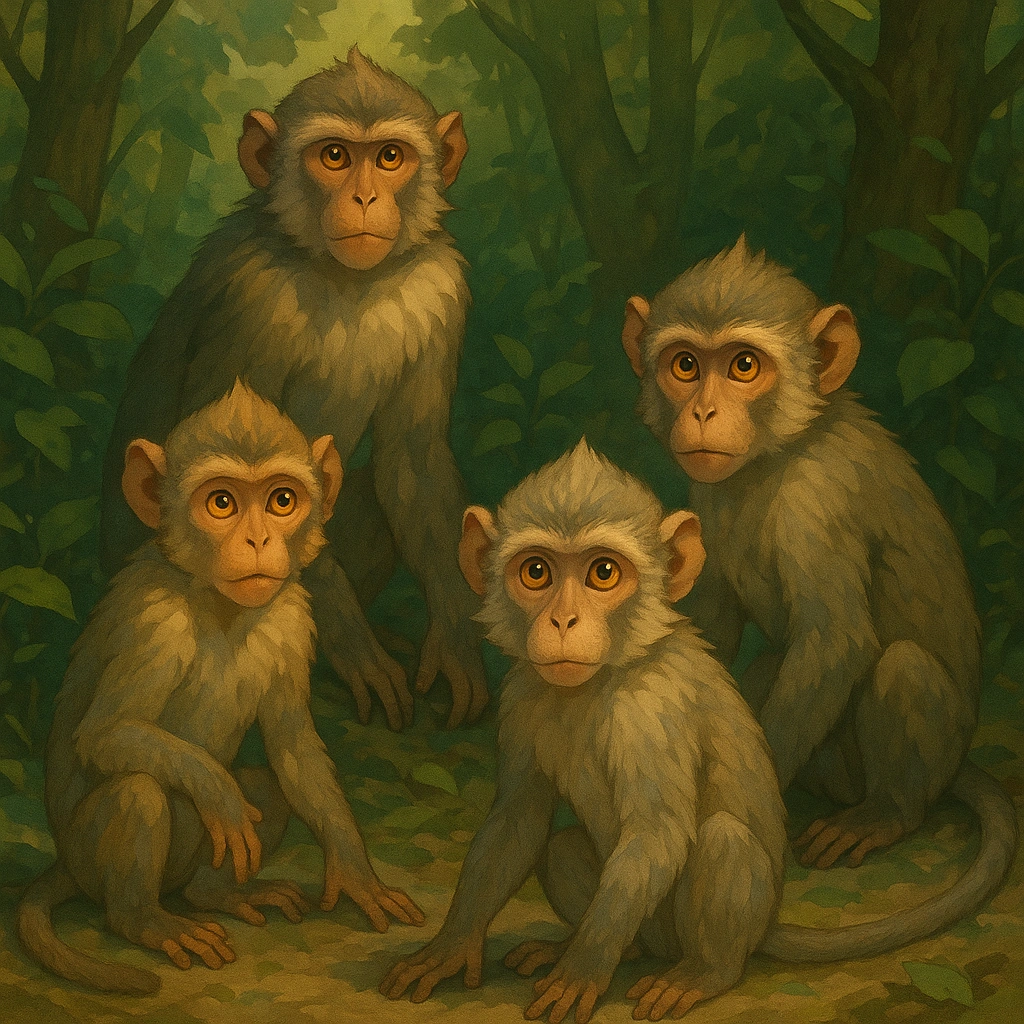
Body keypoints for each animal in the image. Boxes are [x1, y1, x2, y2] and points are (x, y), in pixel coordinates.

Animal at [18, 382, 423, 995]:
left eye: (282, 500)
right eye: (222, 503)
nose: (257, 539)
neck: (218, 604)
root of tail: (63, 864)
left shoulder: (290, 615)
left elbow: (294, 753)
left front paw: (357, 873)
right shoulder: (154, 622)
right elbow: (107, 733)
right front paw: (218, 792)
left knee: (267, 787)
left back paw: (216, 893)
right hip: (88, 860)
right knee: (138, 790)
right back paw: (145, 920)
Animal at [99, 46, 487, 731]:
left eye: (390, 156)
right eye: (334, 156)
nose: (364, 196)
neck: (345, 277)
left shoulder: (441, 285)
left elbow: (412, 462)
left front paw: (458, 640)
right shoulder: (251, 297)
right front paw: (356, 649)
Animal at [379, 441, 1017, 1023]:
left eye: (603, 573)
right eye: (536, 572)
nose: (563, 621)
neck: (603, 679)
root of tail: (766, 925)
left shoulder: (648, 714)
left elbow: (657, 836)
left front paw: (582, 970)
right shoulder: (521, 695)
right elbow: (519, 816)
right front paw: (450, 946)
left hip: (728, 914)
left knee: (721, 839)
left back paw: (702, 973)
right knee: (564, 850)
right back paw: (608, 950)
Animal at [621, 235, 1018, 872]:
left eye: (744, 366)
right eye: (685, 365)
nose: (704, 412)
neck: (778, 452)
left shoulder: (816, 503)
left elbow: (836, 645)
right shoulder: (708, 494)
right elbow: (712, 633)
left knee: (903, 666)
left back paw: (885, 814)